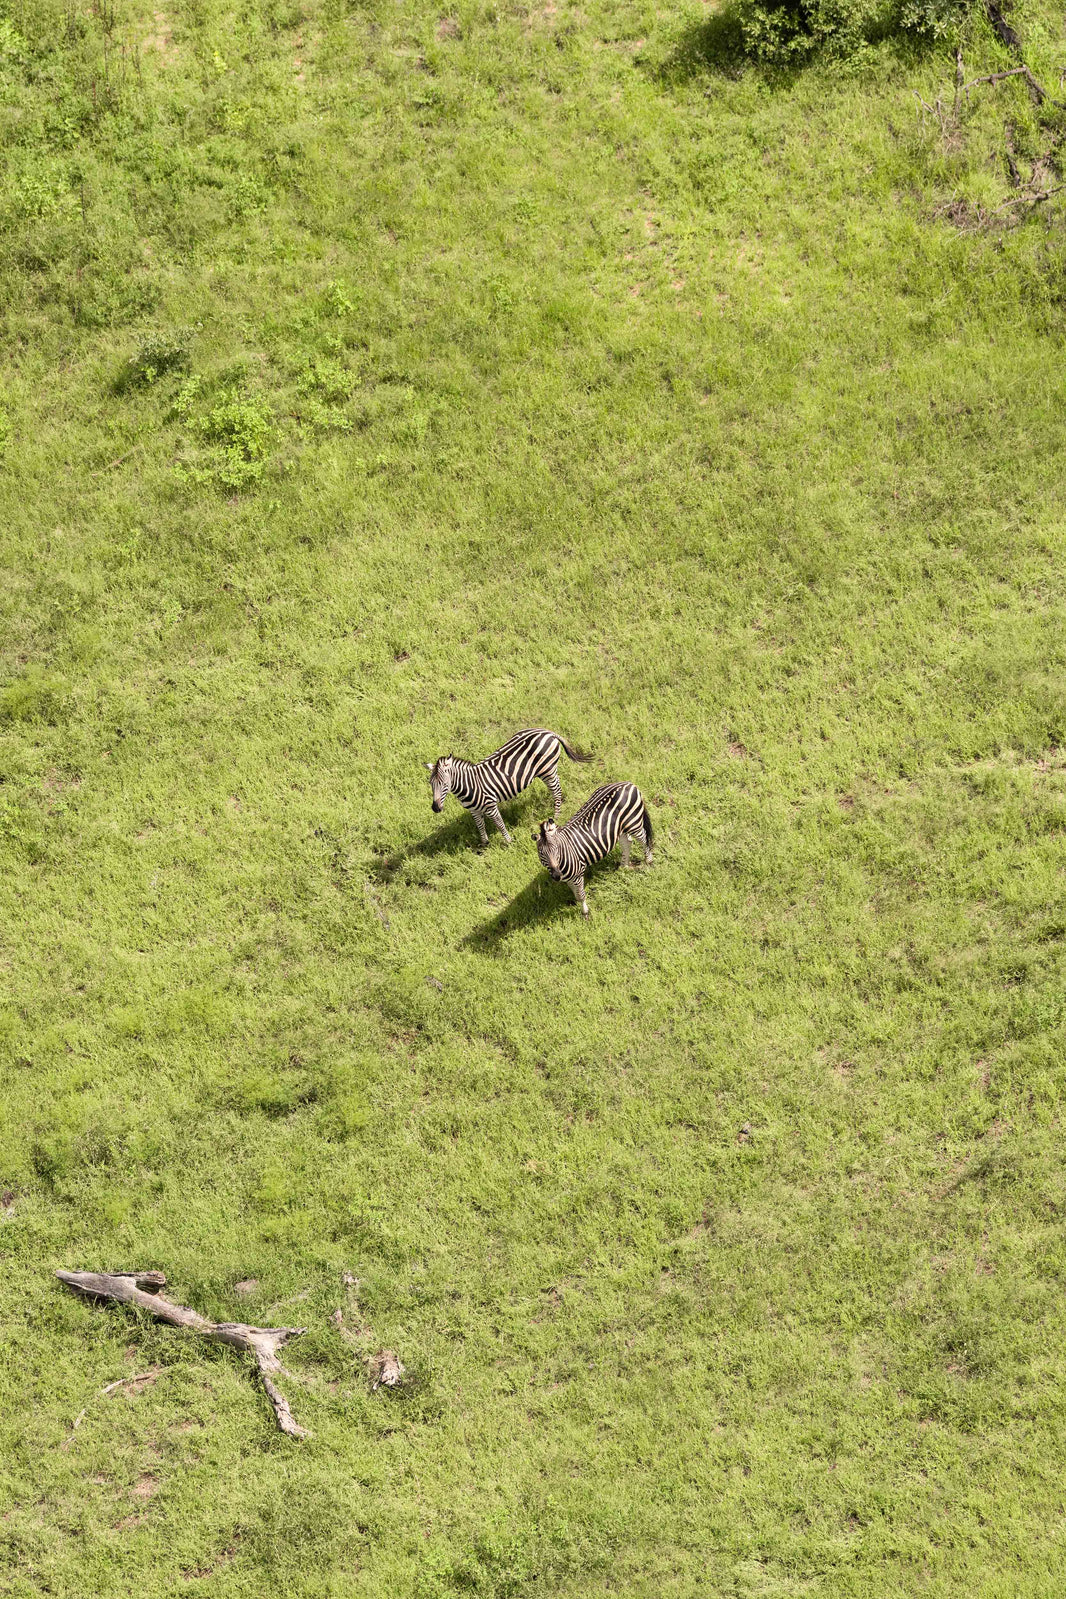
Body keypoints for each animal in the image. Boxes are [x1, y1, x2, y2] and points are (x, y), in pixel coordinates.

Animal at [426, 729, 593, 848]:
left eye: (445, 784)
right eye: (431, 784)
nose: (435, 808)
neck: (469, 786)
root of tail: (546, 731)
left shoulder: (491, 806)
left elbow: (500, 824)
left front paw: (509, 842)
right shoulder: (473, 810)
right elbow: (480, 826)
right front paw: (485, 844)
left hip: (548, 770)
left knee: (556, 791)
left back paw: (556, 816)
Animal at [532, 781, 653, 917]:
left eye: (557, 849)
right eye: (541, 853)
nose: (557, 876)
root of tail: (628, 783)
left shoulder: (578, 875)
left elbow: (580, 895)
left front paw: (585, 912)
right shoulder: (569, 878)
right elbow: (575, 893)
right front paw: (578, 904)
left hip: (633, 822)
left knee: (643, 839)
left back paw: (648, 861)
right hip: (620, 828)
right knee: (627, 843)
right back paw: (624, 866)